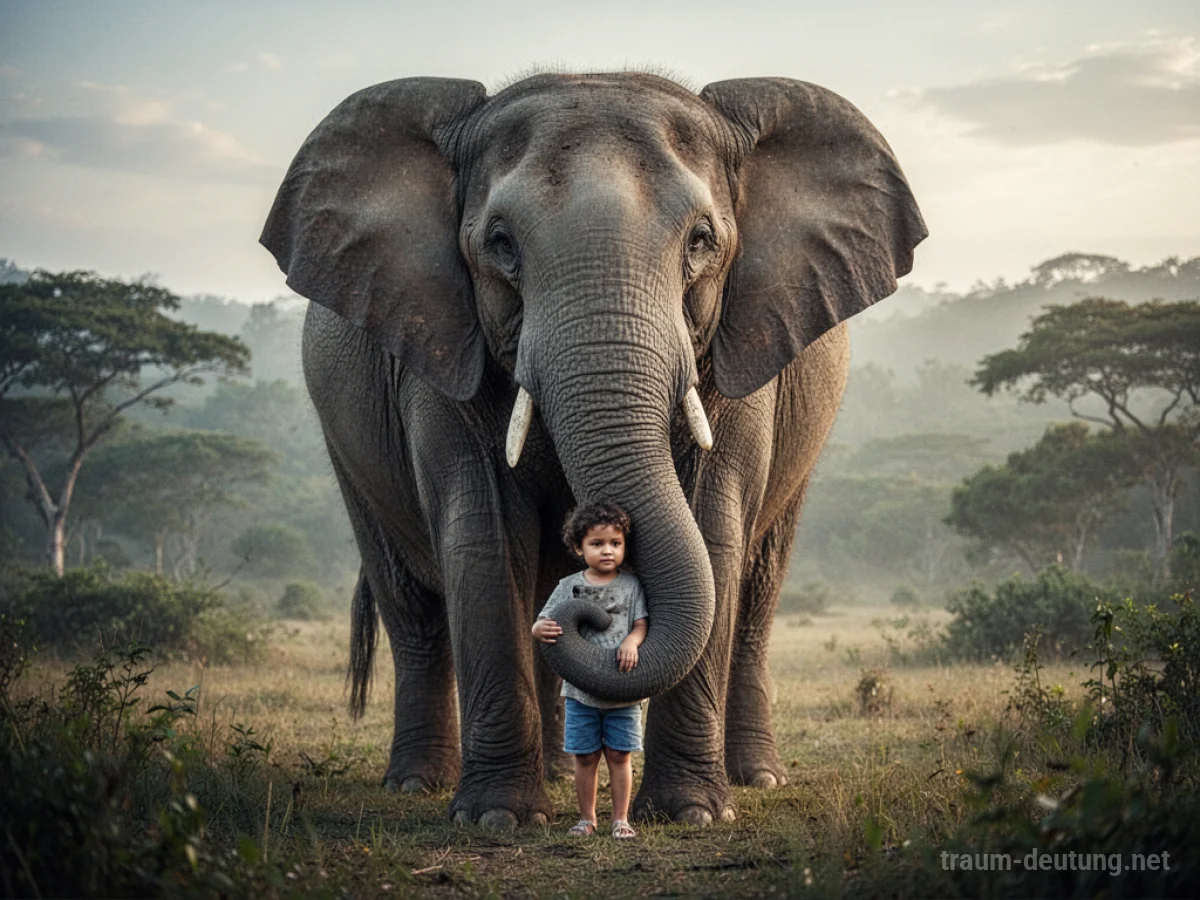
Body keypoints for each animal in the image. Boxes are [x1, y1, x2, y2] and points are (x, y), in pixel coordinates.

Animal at [260, 71, 926, 828]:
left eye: (701, 241)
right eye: (500, 244)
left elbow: (713, 528)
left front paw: (694, 815)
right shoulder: (440, 341)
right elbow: (486, 537)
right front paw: (497, 819)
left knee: (756, 597)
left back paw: (755, 779)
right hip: (345, 440)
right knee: (416, 609)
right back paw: (420, 784)